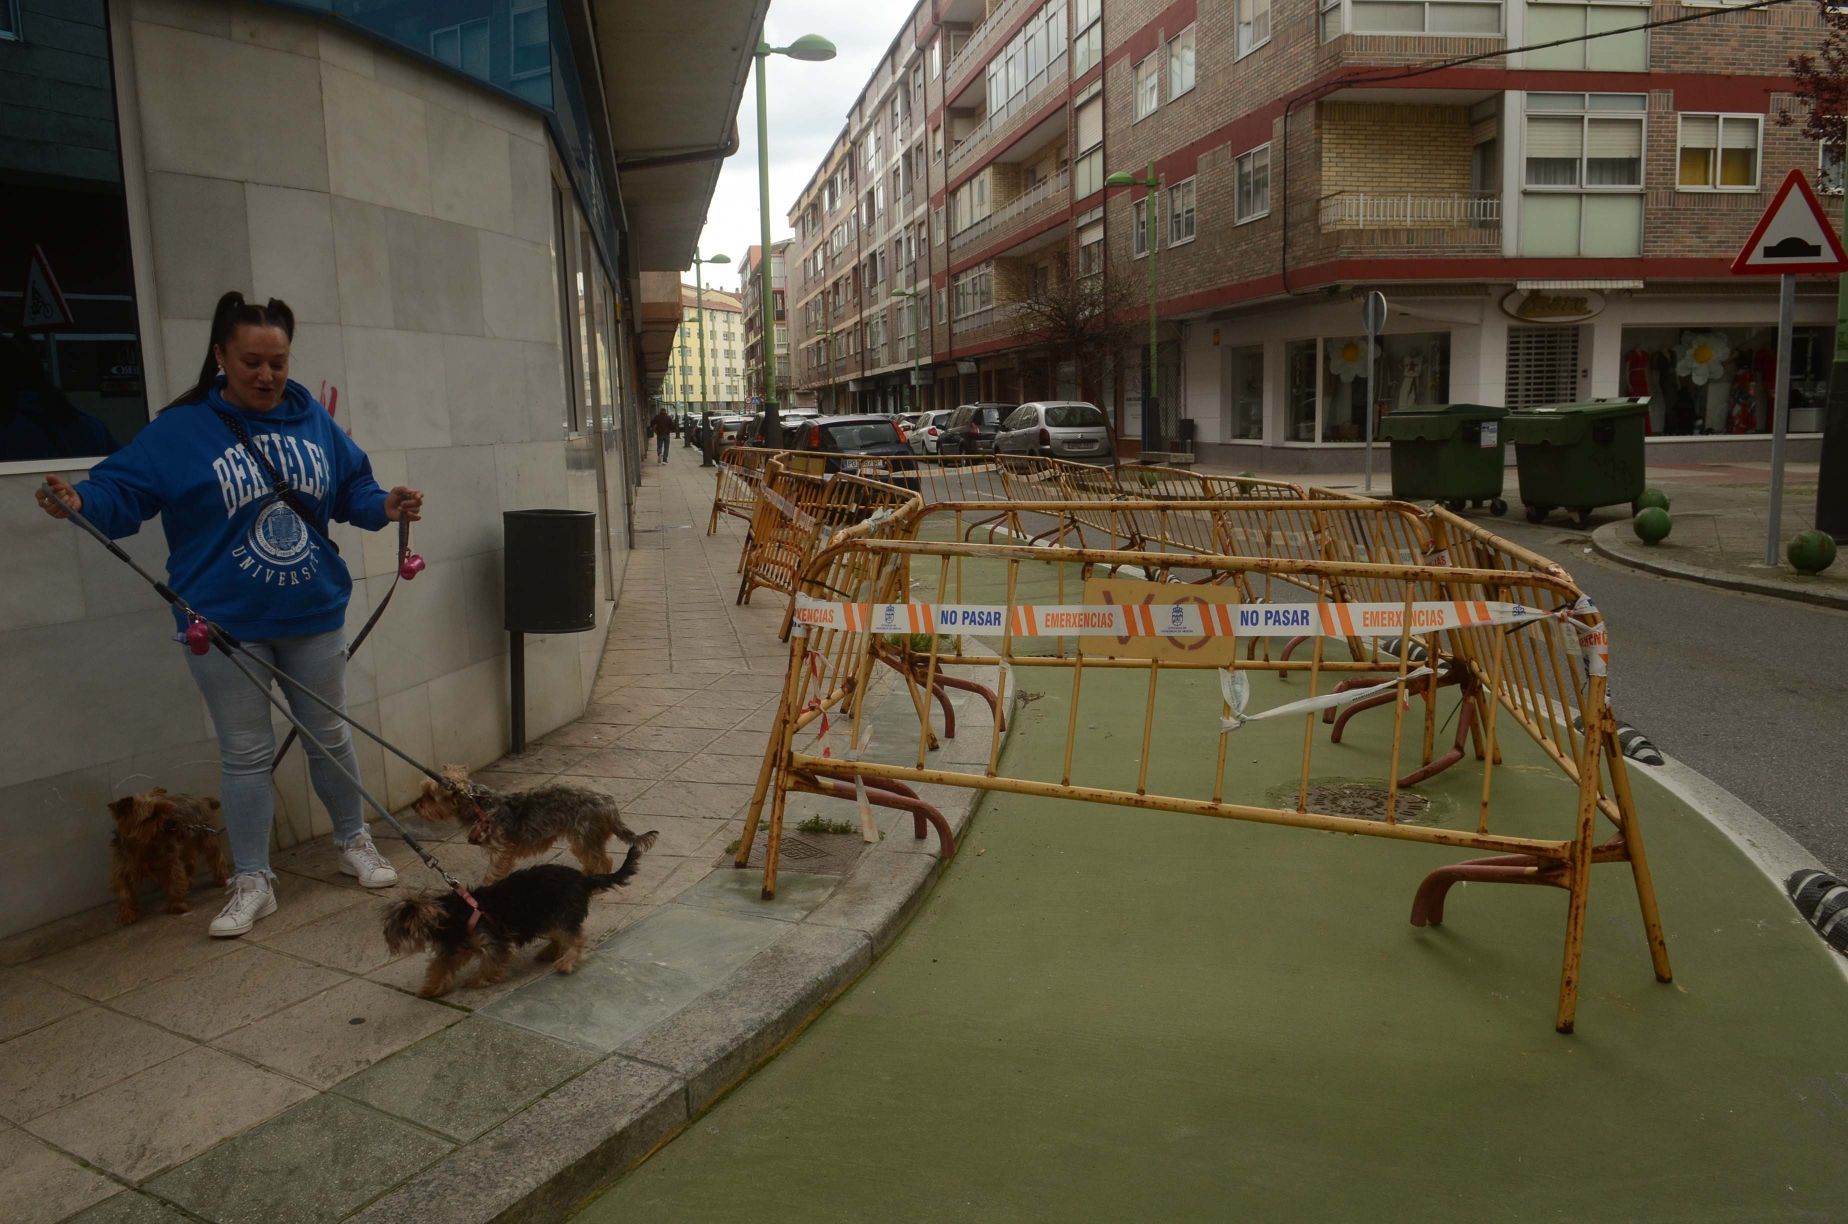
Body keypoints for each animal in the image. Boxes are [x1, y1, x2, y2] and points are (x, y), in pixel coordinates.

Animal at [107, 791, 230, 924]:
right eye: (152, 815)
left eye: (166, 810)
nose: (172, 821)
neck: (145, 846)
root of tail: (203, 799)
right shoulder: (123, 867)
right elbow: (124, 891)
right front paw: (127, 914)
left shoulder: (170, 861)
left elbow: (175, 881)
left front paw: (178, 905)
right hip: (186, 844)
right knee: (190, 862)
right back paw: (189, 882)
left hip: (207, 838)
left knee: (217, 858)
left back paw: (222, 878)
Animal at [380, 857, 643, 1005]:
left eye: (395, 929)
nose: (389, 944)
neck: (452, 915)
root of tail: (583, 879)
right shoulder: (459, 946)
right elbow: (441, 965)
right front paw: (431, 988)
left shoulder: (491, 939)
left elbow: (492, 960)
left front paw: (480, 980)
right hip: (546, 917)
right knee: (562, 936)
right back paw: (550, 953)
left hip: (559, 913)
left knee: (576, 937)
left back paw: (568, 960)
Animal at [415, 769, 661, 883]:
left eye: (429, 796)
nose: (415, 806)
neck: (477, 803)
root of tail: (609, 804)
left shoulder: (501, 850)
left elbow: (493, 872)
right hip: (583, 838)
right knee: (594, 858)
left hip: (584, 835)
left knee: (603, 860)